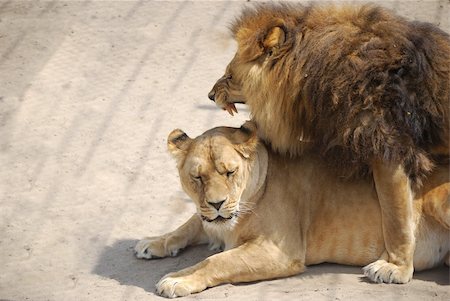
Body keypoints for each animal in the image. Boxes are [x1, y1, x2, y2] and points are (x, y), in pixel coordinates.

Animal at [135, 122, 450, 298]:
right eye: (198, 177)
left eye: (229, 172)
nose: (216, 203)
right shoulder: (210, 220)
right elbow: (189, 225)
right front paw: (153, 242)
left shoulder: (279, 251)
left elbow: (217, 261)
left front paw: (178, 279)